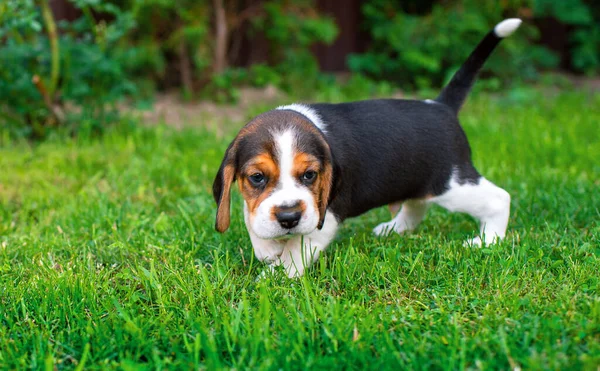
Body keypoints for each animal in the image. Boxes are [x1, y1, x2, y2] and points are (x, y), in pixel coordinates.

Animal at [214, 18, 520, 278]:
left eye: (310, 175)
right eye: (256, 178)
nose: (289, 217)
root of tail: (441, 106)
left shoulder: (326, 216)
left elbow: (297, 250)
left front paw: (275, 276)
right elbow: (251, 217)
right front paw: (266, 248)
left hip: (452, 183)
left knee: (499, 198)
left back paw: (487, 240)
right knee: (416, 205)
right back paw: (394, 229)